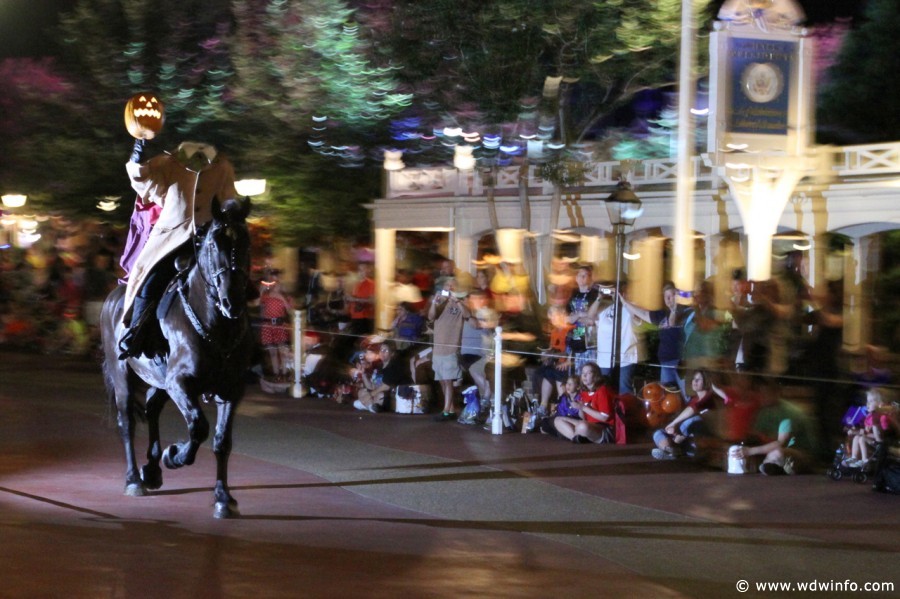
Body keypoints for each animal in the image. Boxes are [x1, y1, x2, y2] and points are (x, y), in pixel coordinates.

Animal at [103, 199, 255, 516]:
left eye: (246, 242)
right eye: (213, 244)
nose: (232, 301)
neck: (217, 327)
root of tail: (114, 295)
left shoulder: (231, 390)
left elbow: (222, 441)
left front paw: (223, 498)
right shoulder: (180, 383)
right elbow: (198, 427)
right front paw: (174, 455)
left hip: (159, 381)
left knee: (151, 408)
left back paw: (151, 470)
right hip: (122, 375)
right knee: (127, 422)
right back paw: (134, 478)